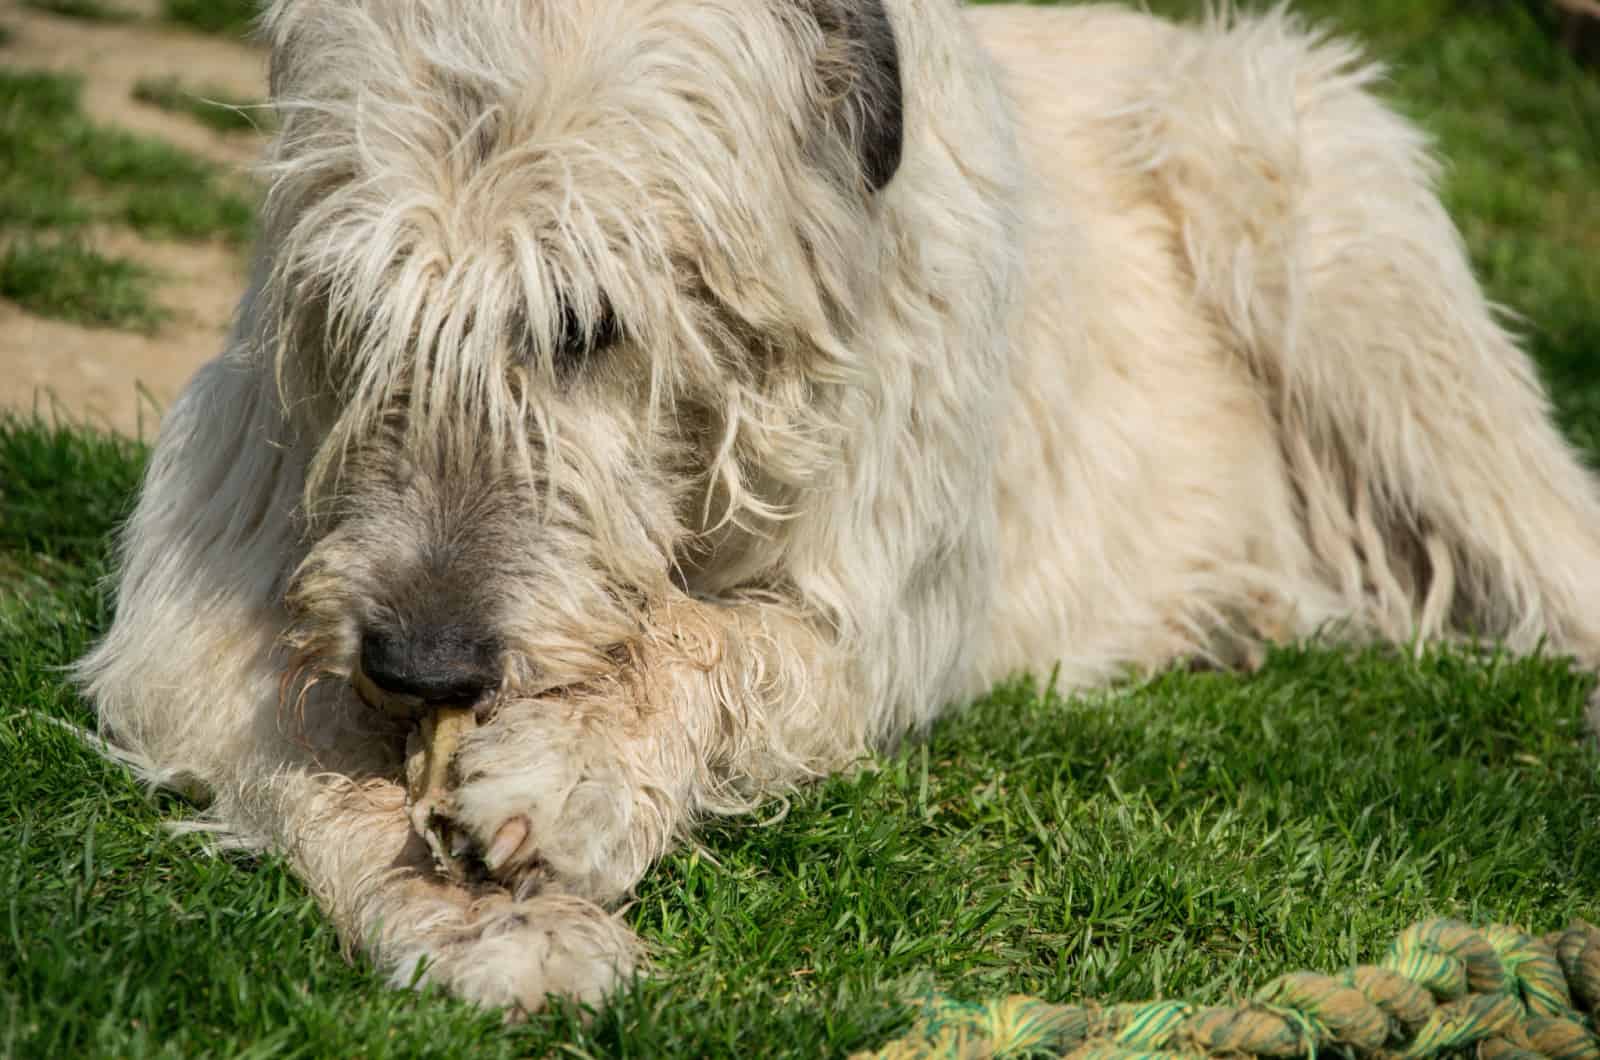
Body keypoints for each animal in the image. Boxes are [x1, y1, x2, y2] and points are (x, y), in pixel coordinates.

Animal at [78, 0, 1600, 1011]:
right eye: (355, 312)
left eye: (587, 324)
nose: (422, 664)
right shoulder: (227, 562)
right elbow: (260, 716)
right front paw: (465, 916)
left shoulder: (879, 589)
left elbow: (735, 644)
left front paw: (570, 769)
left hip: (1297, 201)